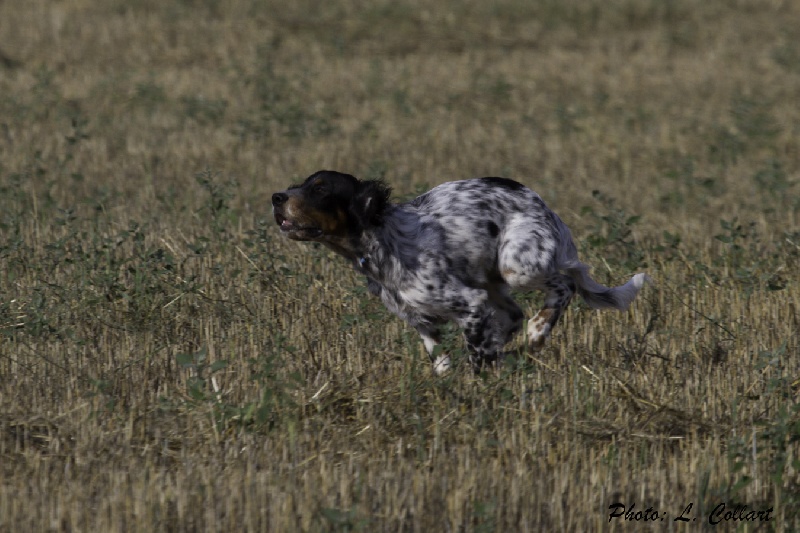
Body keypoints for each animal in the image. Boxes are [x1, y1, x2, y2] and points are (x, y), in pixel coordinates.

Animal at [272, 172, 648, 372]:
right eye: (300, 183)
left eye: (320, 188)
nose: (277, 197)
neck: (382, 240)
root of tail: (542, 204)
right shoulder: (420, 319)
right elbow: (439, 358)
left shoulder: (470, 303)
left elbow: (477, 356)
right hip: (493, 278)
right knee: (514, 314)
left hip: (516, 266)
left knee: (564, 284)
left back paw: (538, 331)